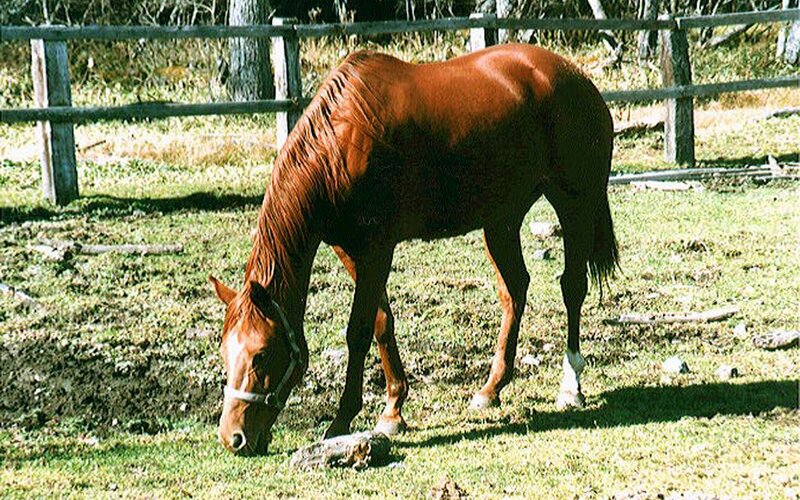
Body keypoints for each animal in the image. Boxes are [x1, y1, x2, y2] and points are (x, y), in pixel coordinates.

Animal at [209, 43, 618, 456]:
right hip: (501, 220)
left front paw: (342, 420)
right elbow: (382, 323)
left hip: (575, 205)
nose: (233, 438)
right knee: (514, 290)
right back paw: (491, 388)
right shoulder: (351, 251)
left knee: (572, 287)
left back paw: (571, 386)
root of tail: (576, 77)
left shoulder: (377, 249)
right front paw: (392, 409)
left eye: (261, 354)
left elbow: (358, 330)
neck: (340, 145)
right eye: (226, 352)